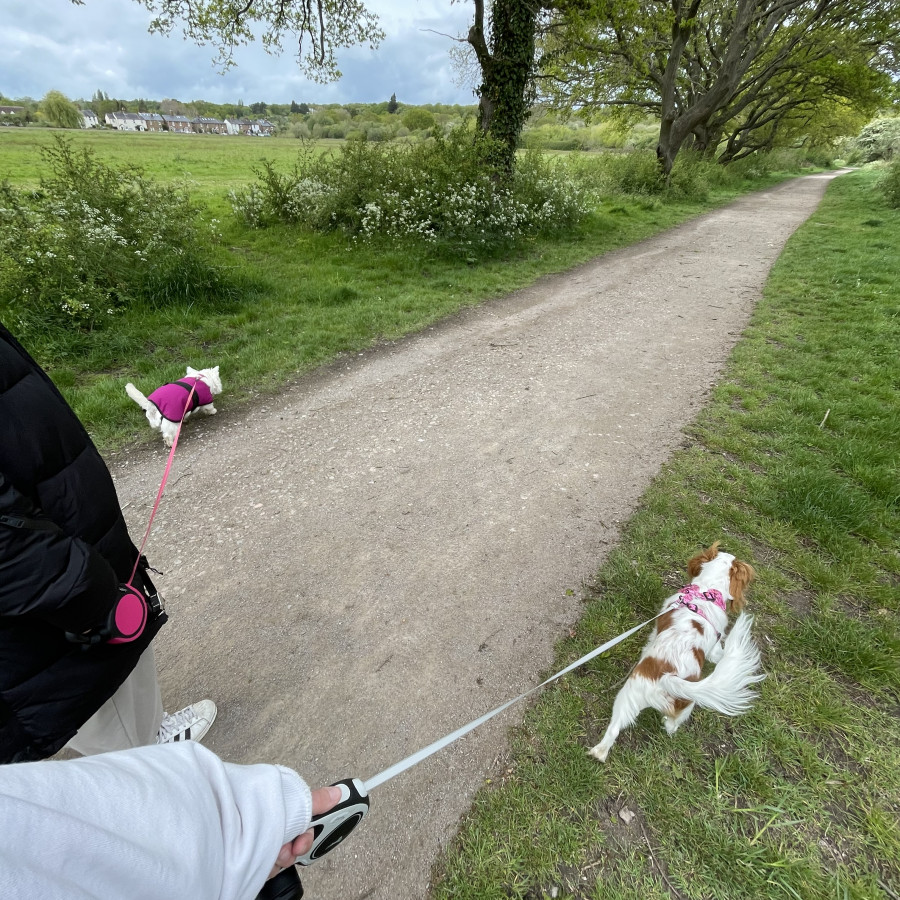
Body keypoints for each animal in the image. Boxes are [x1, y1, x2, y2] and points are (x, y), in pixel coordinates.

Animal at [592, 544, 768, 764]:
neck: (706, 590)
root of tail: (668, 677)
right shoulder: (714, 646)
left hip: (628, 696)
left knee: (614, 729)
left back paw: (599, 752)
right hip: (683, 704)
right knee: (669, 724)